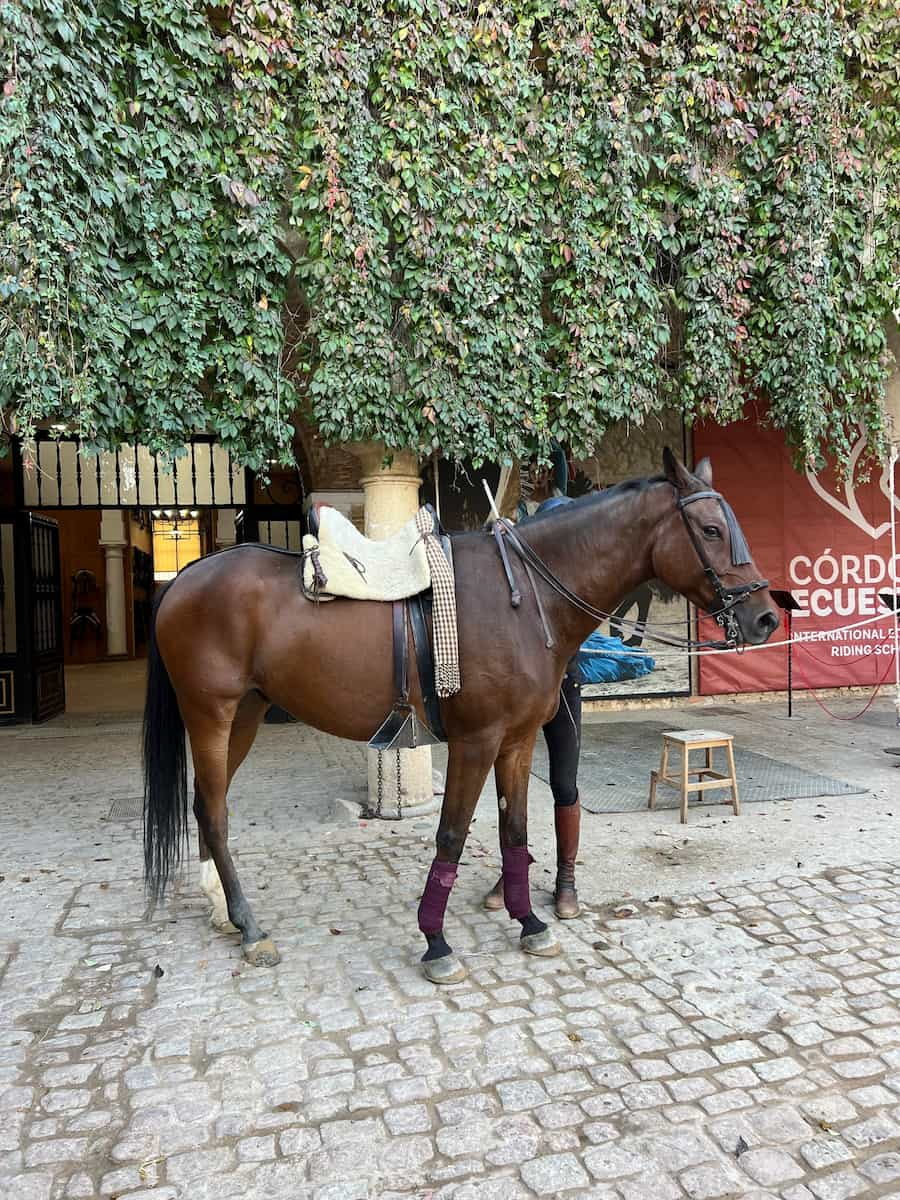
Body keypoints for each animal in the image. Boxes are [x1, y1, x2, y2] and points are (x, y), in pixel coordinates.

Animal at [144, 451, 777, 984]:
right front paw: (436, 941)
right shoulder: (475, 742)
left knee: (206, 806)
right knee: (215, 813)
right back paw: (250, 926)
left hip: (245, 716)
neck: (524, 596)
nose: (767, 616)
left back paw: (224, 910)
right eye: (712, 530)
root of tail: (184, 580)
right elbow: (451, 835)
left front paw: (529, 922)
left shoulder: (517, 742)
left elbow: (514, 830)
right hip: (211, 714)